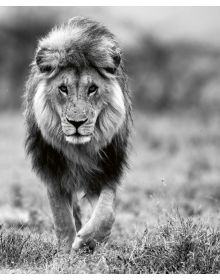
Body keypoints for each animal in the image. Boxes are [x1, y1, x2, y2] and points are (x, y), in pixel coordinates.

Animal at [24, 16, 131, 253]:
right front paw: (66, 250)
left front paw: (88, 241)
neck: (80, 148)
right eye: (63, 89)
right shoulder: (53, 172)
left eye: (92, 89)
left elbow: (106, 213)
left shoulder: (107, 169)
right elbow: (62, 217)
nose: (76, 123)